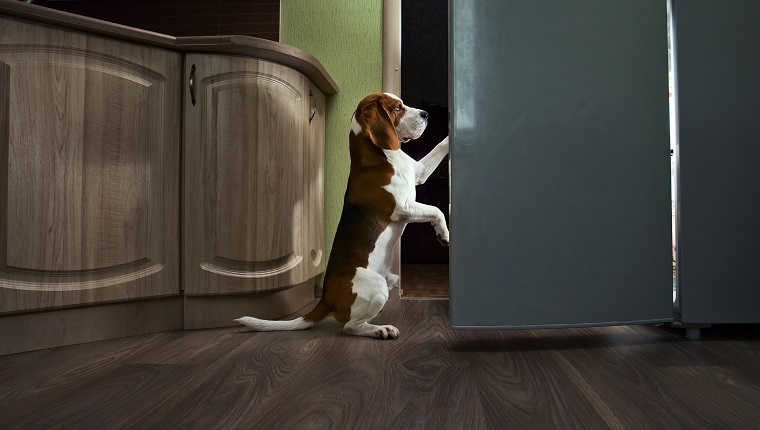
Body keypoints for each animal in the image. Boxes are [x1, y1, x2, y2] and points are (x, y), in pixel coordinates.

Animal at [235, 94, 448, 340]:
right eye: (397, 108)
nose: (426, 114)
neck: (379, 156)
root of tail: (325, 299)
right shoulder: (402, 208)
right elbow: (437, 209)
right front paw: (443, 234)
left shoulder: (420, 172)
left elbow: (440, 146)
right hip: (377, 288)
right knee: (350, 326)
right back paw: (380, 330)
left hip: (390, 281)